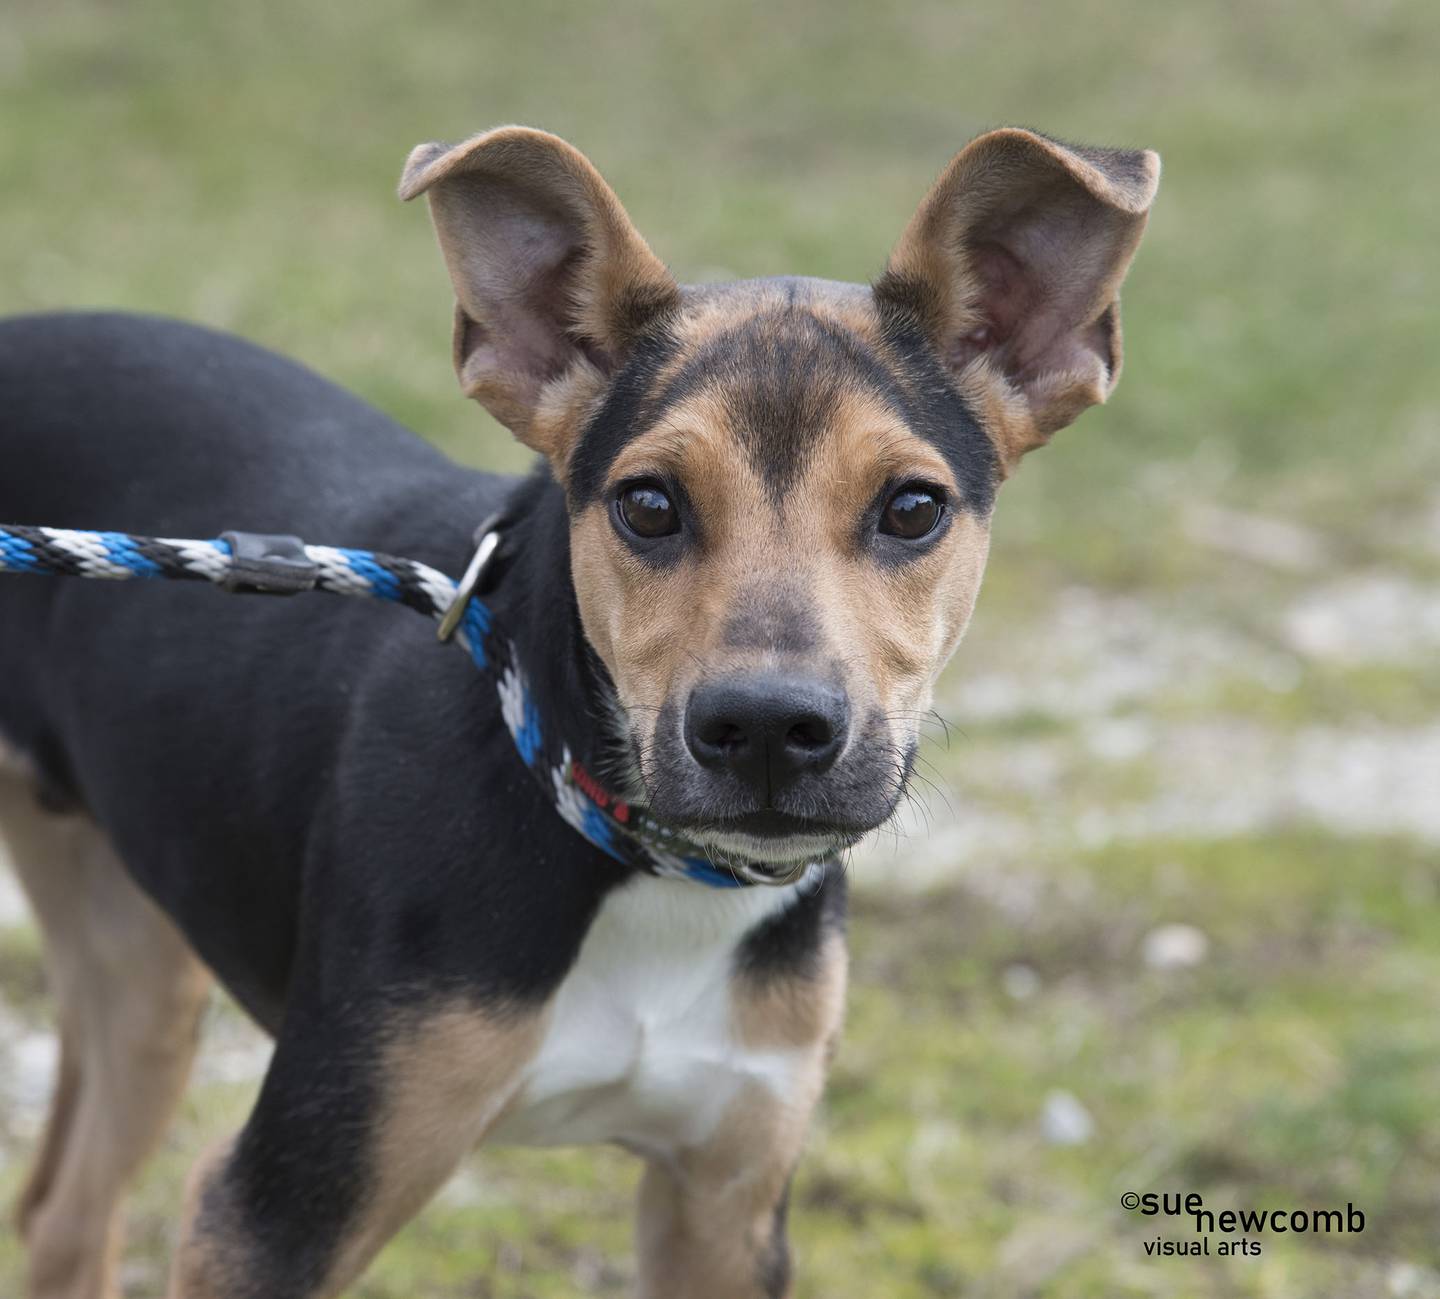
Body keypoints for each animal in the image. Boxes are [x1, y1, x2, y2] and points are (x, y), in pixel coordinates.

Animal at [0, 124, 1146, 1299]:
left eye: (913, 508)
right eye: (647, 504)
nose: (767, 731)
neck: (647, 867)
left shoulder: (727, 1203)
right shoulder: (280, 1206)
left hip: (141, 977)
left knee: (63, 1211)